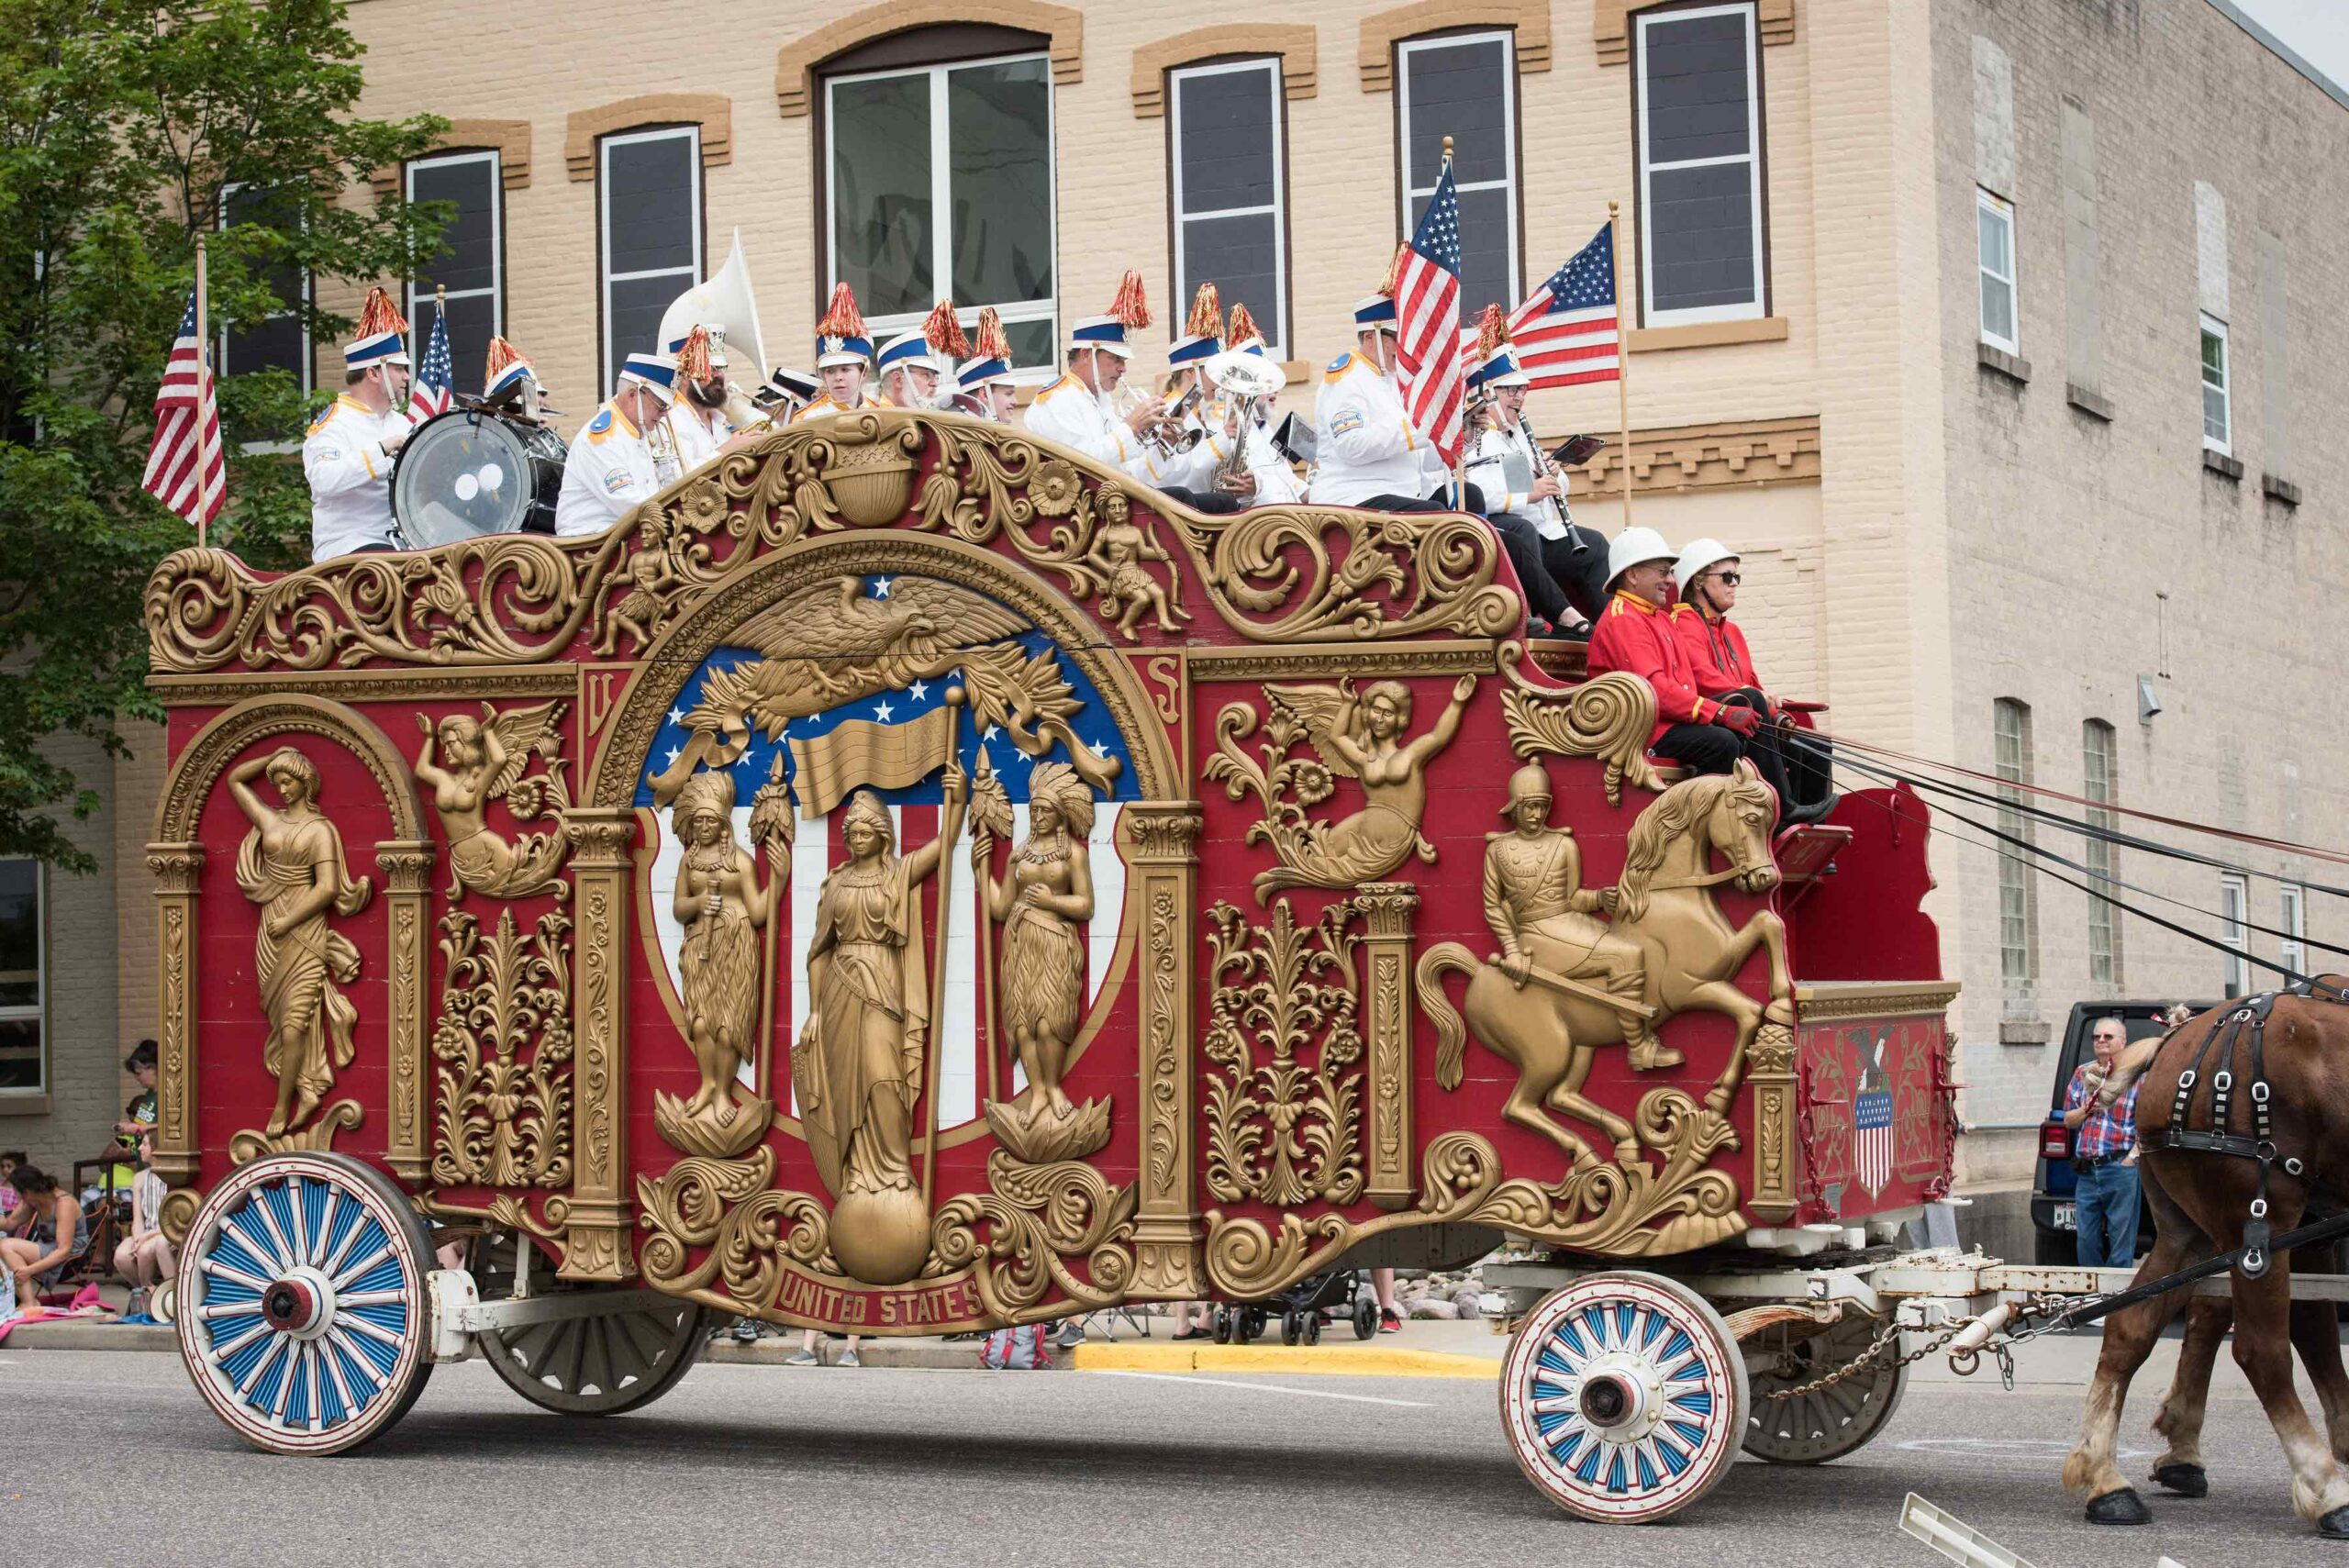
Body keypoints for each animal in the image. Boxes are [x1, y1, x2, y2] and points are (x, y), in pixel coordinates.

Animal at [2066, 985, 2349, 1540]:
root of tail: (2179, 1038)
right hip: (2258, 1222)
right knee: (2262, 1353)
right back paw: (2326, 1488)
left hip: (2190, 1234)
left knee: (2130, 1329)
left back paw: (2107, 1481)